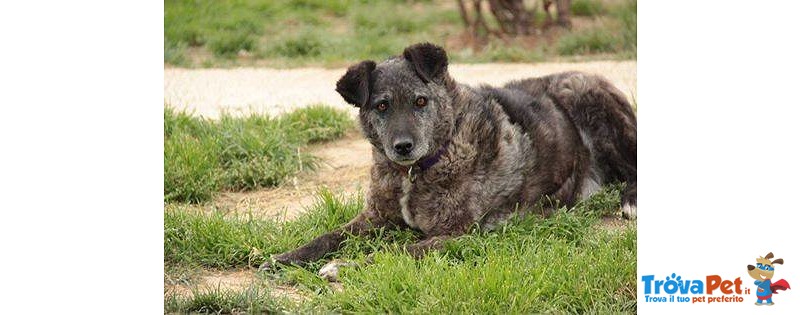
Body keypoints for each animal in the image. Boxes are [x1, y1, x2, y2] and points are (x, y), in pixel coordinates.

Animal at [262, 42, 636, 274]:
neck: (415, 172)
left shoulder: (456, 235)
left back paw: (629, 201)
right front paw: (283, 258)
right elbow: (327, 236)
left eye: (420, 101)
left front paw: (344, 266)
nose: (403, 146)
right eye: (382, 106)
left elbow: (396, 251)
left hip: (583, 97)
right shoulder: (375, 218)